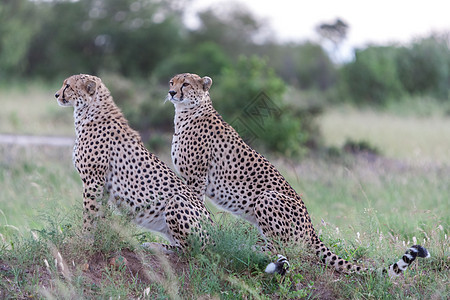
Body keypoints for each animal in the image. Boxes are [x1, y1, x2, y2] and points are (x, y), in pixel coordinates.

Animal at [55, 74, 213, 250]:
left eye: (67, 86)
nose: (56, 95)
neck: (88, 111)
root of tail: (217, 234)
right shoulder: (103, 184)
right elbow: (101, 213)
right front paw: (100, 239)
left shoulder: (93, 179)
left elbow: (89, 212)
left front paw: (84, 239)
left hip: (177, 201)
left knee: (189, 249)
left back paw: (153, 246)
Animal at [165, 72, 428, 276]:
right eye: (171, 82)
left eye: (185, 84)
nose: (171, 92)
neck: (187, 113)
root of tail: (311, 227)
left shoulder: (196, 179)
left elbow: (197, 210)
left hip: (268, 198)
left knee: (284, 249)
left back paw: (251, 247)